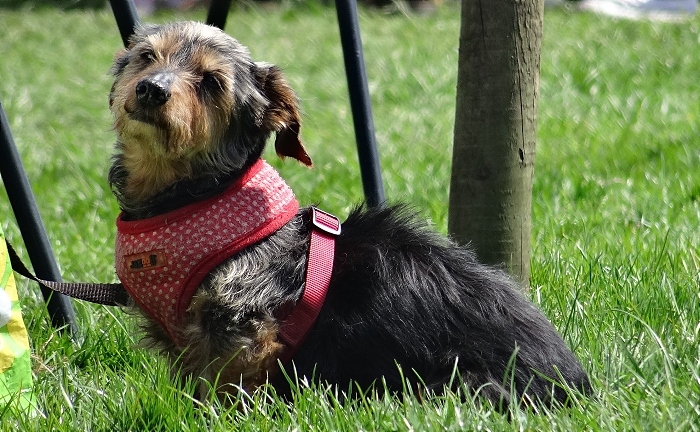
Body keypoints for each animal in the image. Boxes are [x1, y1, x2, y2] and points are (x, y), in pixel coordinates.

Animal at [108, 21, 592, 408]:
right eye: (147, 56)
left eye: (210, 82)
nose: (151, 88)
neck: (193, 197)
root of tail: (576, 388)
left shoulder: (242, 328)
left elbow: (224, 390)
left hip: (456, 386)